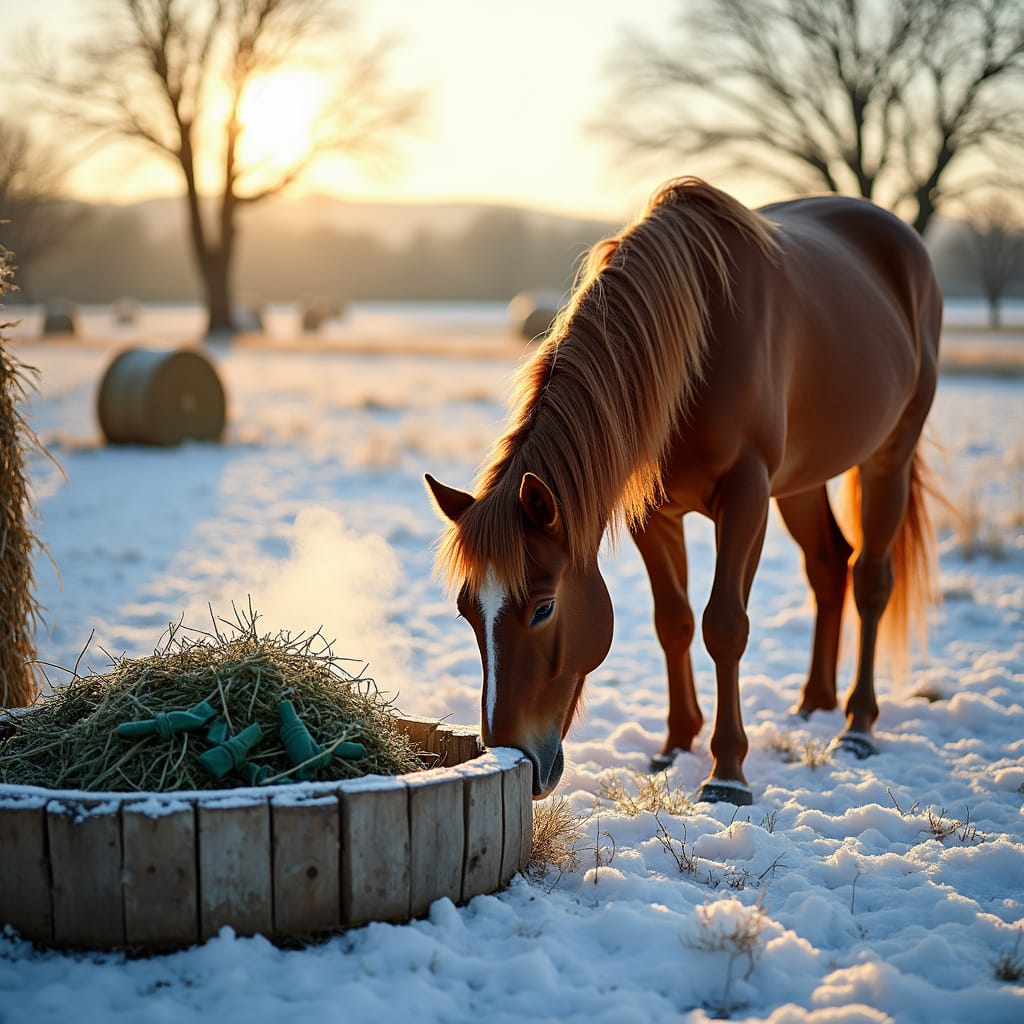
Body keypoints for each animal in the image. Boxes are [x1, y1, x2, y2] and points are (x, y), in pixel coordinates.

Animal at [426, 177, 941, 806]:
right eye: (467, 610)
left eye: (543, 606)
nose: (515, 755)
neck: (698, 349)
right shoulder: (654, 514)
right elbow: (673, 622)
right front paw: (674, 745)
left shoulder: (745, 495)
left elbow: (725, 624)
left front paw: (727, 772)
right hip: (804, 478)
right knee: (828, 565)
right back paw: (813, 704)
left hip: (889, 456)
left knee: (869, 578)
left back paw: (857, 726)